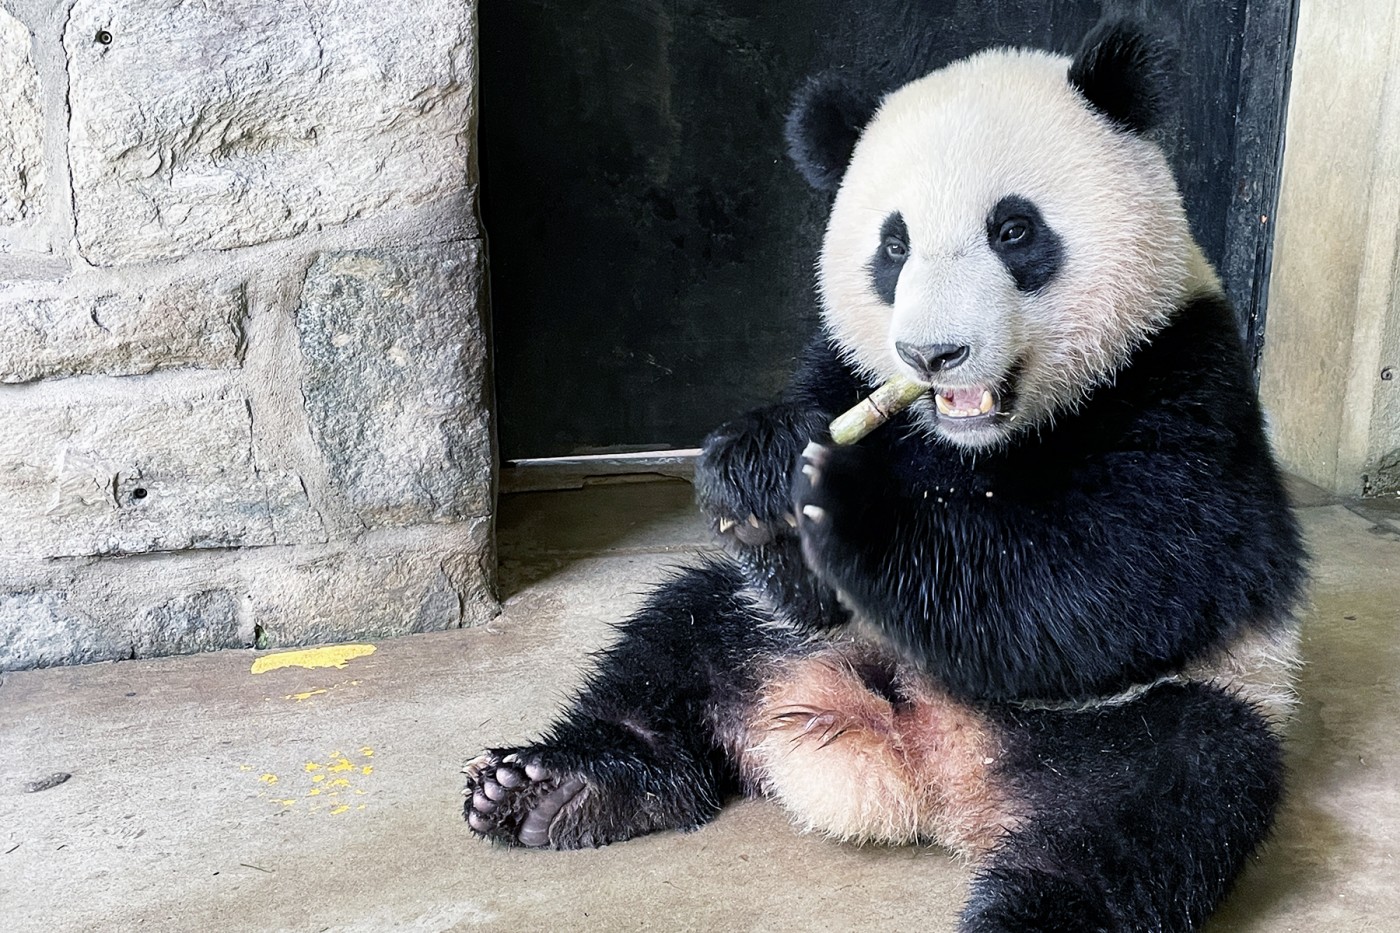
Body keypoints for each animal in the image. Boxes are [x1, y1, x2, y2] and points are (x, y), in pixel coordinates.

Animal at [464, 18, 1304, 924]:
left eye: (1015, 230)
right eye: (893, 246)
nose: (933, 354)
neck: (974, 440)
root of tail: (932, 770)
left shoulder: (1180, 379)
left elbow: (1108, 580)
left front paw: (853, 508)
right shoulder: (844, 369)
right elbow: (800, 569)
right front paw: (757, 469)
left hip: (1158, 710)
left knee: (1157, 808)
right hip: (782, 641)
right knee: (676, 641)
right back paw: (561, 788)